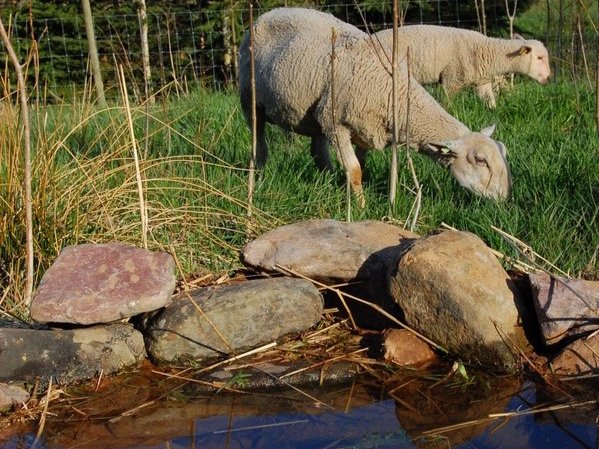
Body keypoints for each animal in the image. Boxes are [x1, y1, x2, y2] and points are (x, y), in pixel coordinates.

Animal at [239, 8, 510, 205]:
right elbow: (354, 171)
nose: (504, 198)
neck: (394, 92)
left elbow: (362, 167)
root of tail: (269, 12)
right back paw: (258, 177)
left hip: (317, 113)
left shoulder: (364, 130)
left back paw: (328, 178)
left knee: (318, 152)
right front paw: (361, 207)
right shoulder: (337, 125)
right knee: (259, 145)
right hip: (250, 99)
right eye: (481, 160)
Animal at [378, 25, 552, 107]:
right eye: (539, 57)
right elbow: (446, 104)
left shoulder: (481, 81)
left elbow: (489, 101)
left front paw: (494, 111)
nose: (549, 78)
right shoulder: (452, 79)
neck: (485, 50)